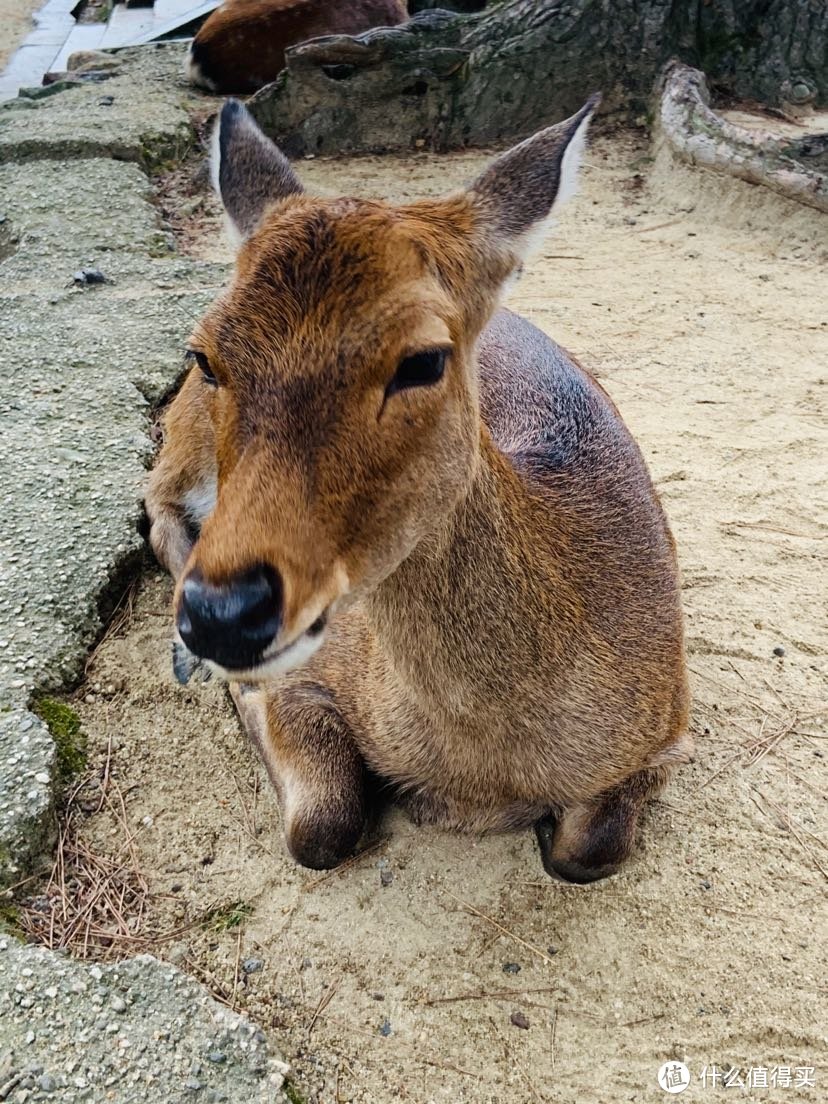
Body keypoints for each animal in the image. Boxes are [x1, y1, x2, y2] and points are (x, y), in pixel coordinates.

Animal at [144, 99, 693, 883]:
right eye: (206, 352)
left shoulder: (667, 727)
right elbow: (321, 826)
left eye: (424, 359)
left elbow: (586, 852)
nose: (223, 614)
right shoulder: (314, 672)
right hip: (185, 441)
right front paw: (238, 691)